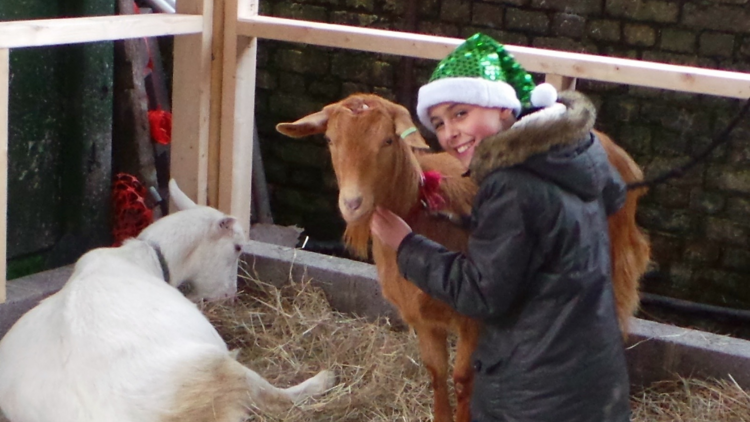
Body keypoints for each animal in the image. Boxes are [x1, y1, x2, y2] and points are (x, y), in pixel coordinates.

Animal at [0, 180, 334, 422]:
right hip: (211, 371)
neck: (140, 257)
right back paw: (323, 379)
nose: (229, 295)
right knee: (272, 396)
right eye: (238, 247)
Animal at [278, 94, 652, 422]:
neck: (421, 211)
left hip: (618, 254)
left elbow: (461, 380)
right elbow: (435, 373)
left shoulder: (473, 317)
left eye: (387, 140)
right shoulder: (422, 318)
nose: (352, 203)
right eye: (329, 139)